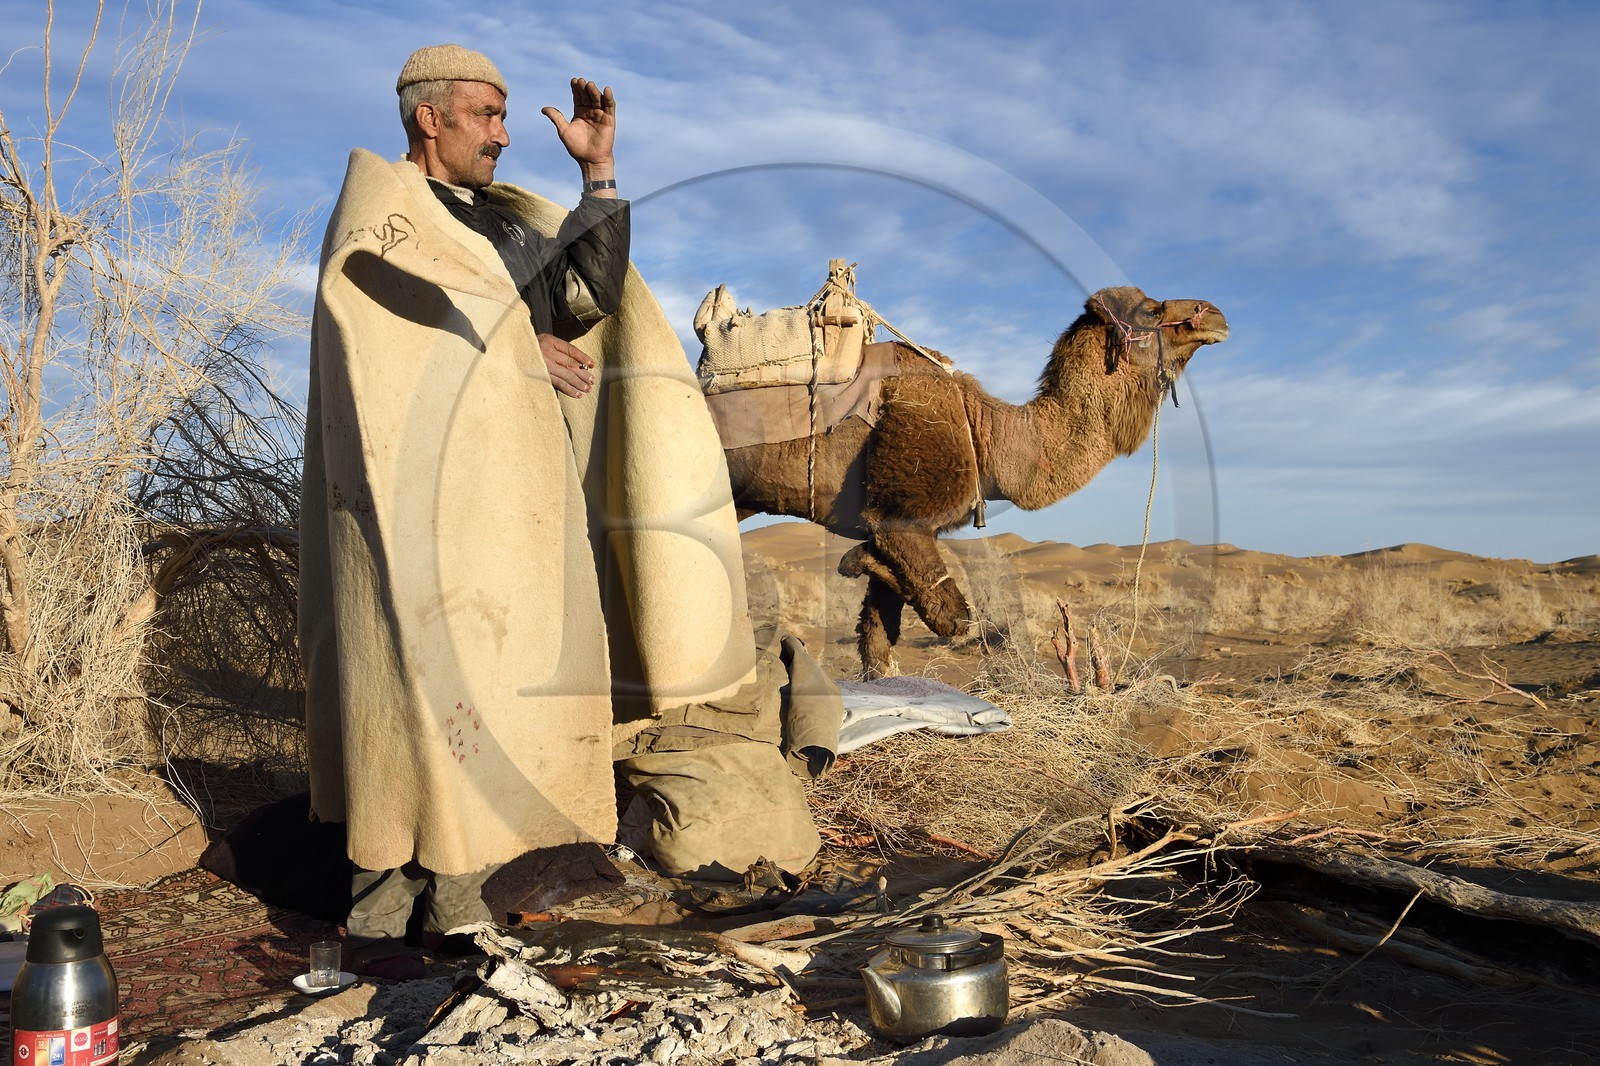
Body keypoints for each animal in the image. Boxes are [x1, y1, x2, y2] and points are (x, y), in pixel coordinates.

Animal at [711, 285, 1228, 677]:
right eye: (1152, 310)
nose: (1216, 314)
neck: (986, 432)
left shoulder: (904, 527)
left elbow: (880, 630)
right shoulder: (901, 515)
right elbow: (954, 619)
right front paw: (855, 561)